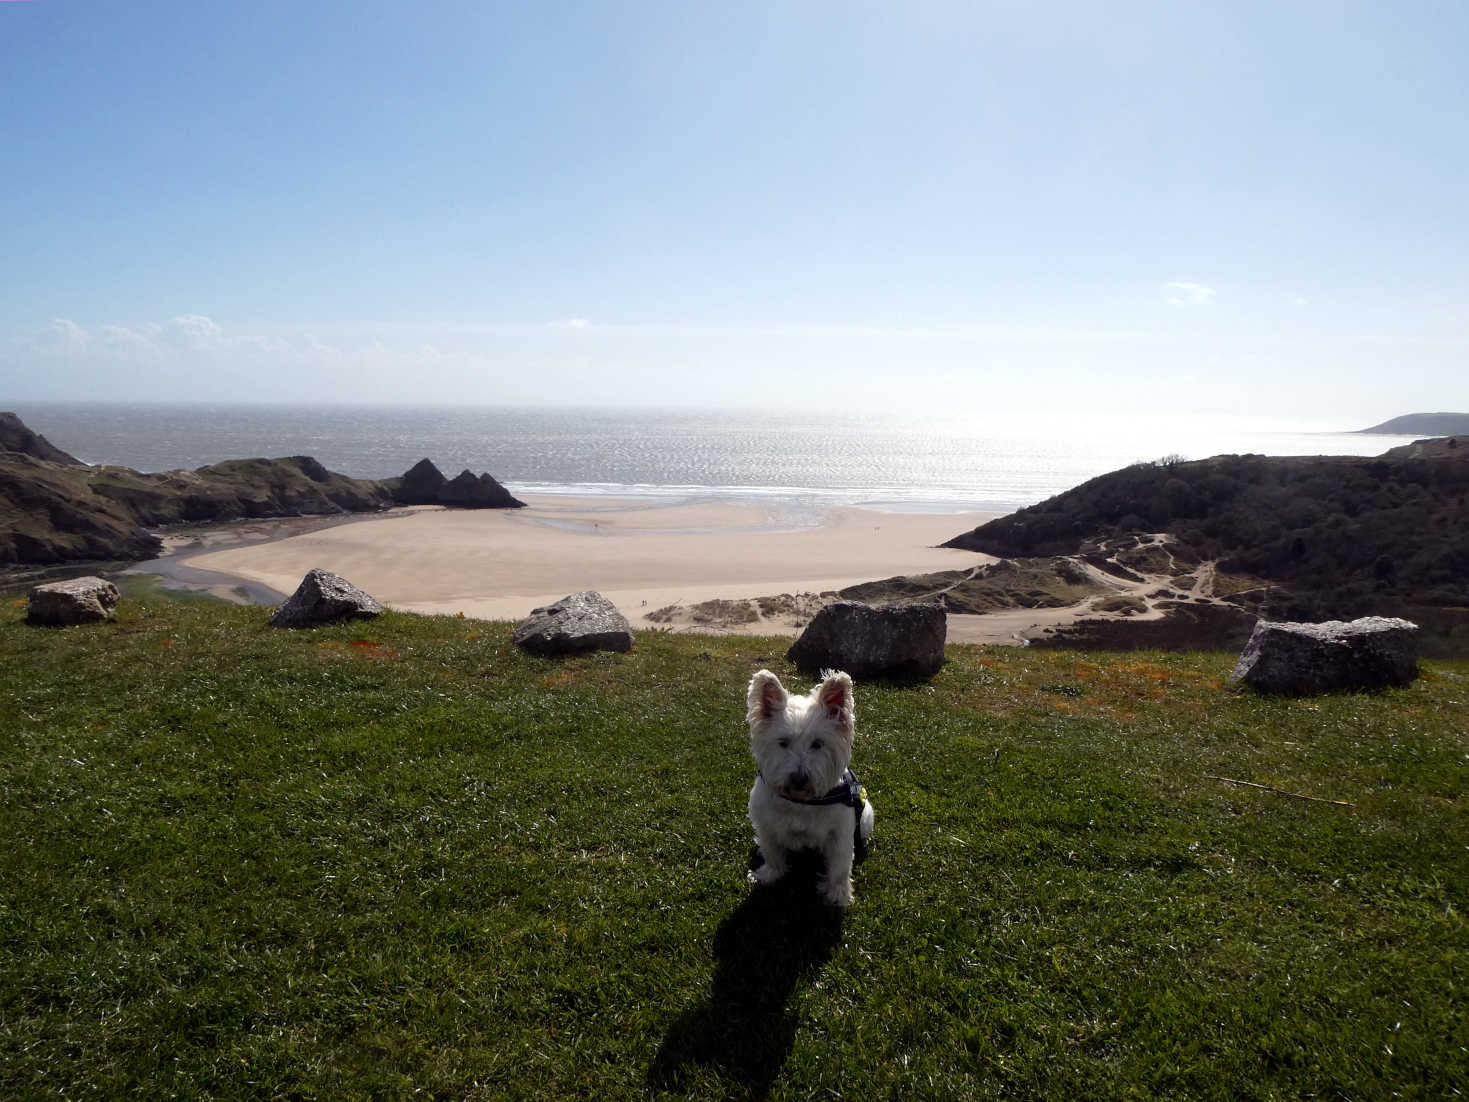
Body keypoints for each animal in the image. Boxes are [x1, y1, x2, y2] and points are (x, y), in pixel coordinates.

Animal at [746, 670, 869, 910]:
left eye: (818, 744)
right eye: (783, 742)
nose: (799, 778)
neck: (802, 802)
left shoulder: (840, 834)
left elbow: (840, 866)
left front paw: (838, 894)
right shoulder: (766, 825)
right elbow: (772, 853)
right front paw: (768, 875)